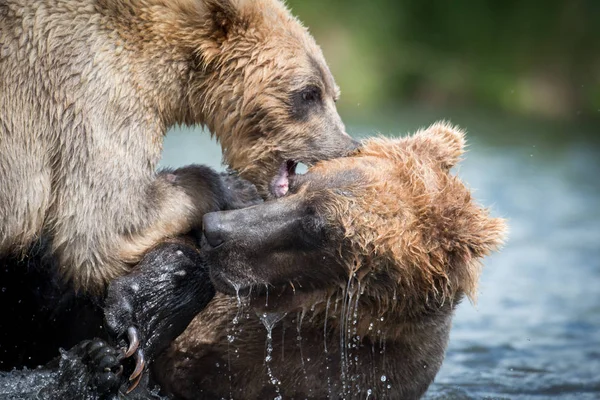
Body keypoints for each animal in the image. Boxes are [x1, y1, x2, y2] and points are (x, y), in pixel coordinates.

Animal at [0, 0, 356, 296]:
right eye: (309, 93)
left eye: (333, 94)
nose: (348, 146)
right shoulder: (94, 88)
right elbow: (105, 224)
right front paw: (231, 189)